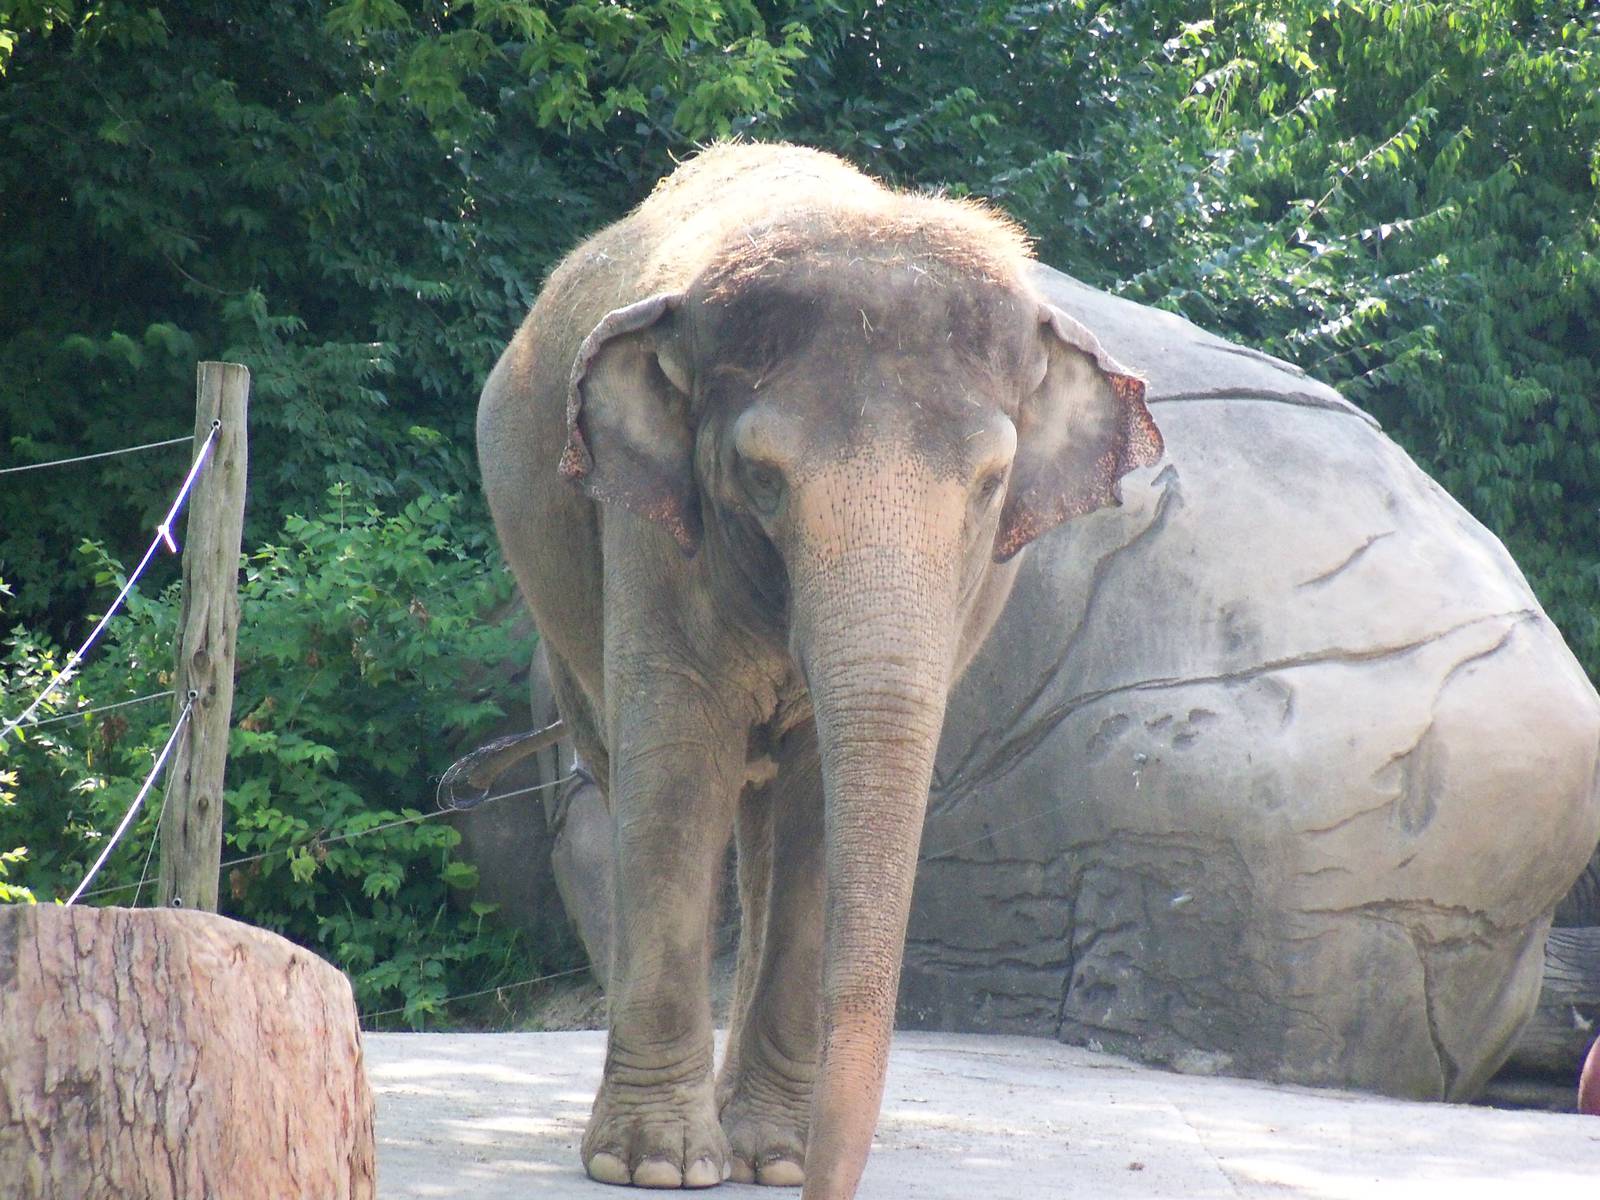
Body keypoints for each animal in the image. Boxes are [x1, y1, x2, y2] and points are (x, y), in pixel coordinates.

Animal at [475, 142, 1162, 1197]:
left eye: (991, 485)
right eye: (762, 478)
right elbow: (677, 768)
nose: (822, 1185)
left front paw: (772, 1156)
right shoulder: (652, 538)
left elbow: (814, 806)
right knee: (630, 773)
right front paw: (656, 1163)